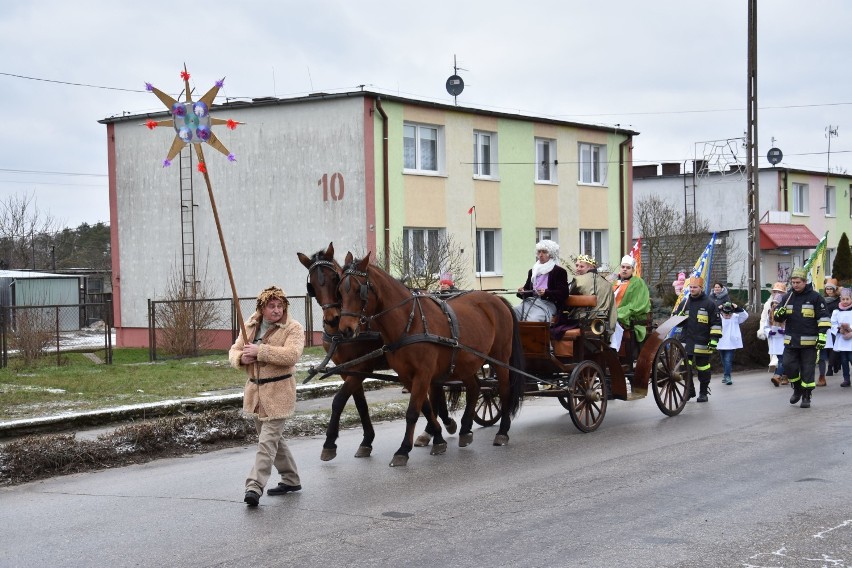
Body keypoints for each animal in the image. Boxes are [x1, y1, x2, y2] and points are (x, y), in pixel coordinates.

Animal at [296, 244, 456, 462]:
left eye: (334, 278)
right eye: (312, 285)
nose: (332, 319)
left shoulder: (362, 367)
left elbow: (339, 400)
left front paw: (329, 443)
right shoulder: (347, 371)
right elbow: (360, 405)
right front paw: (366, 441)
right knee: (435, 392)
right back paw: (434, 430)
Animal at [338, 252, 524, 466]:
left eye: (359, 290)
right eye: (340, 291)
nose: (345, 329)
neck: (410, 322)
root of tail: (496, 299)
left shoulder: (423, 373)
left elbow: (413, 411)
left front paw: (403, 450)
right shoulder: (407, 376)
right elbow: (425, 407)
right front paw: (438, 438)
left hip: (499, 357)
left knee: (504, 389)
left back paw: (502, 431)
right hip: (466, 361)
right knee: (475, 388)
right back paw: (465, 430)